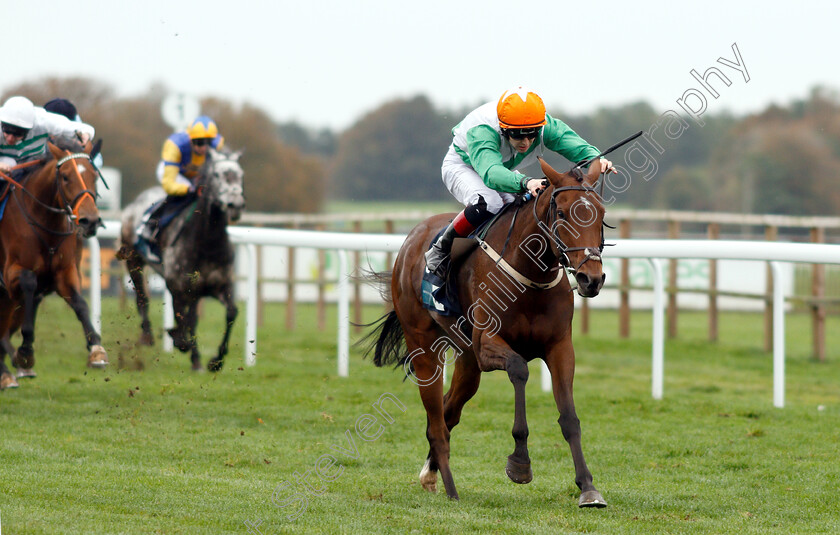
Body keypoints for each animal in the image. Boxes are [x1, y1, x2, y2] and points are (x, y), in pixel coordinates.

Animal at [0, 139, 105, 390]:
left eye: (95, 175)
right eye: (65, 176)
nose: (90, 220)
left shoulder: (64, 273)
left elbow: (80, 304)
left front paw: (96, 349)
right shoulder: (10, 274)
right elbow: (29, 283)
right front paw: (25, 353)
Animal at [368, 158, 612, 506]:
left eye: (601, 214)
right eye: (563, 213)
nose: (591, 278)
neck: (530, 273)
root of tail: (412, 237)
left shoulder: (560, 347)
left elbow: (569, 418)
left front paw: (588, 487)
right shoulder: (487, 345)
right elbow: (519, 369)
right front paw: (520, 463)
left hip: (467, 360)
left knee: (448, 410)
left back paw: (430, 474)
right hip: (424, 347)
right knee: (436, 422)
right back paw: (451, 489)